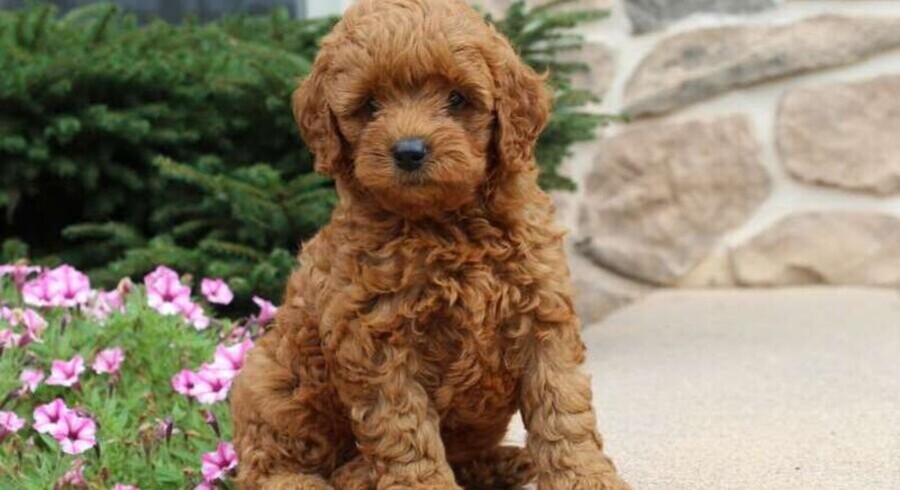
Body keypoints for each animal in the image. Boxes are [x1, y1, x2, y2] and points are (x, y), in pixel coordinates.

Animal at [229, 1, 628, 488]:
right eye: (371, 104)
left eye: (457, 99)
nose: (409, 151)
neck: (447, 225)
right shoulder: (377, 340)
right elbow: (405, 430)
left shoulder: (543, 316)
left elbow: (563, 408)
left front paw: (584, 476)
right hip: (270, 379)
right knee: (268, 463)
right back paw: (337, 476)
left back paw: (503, 463)